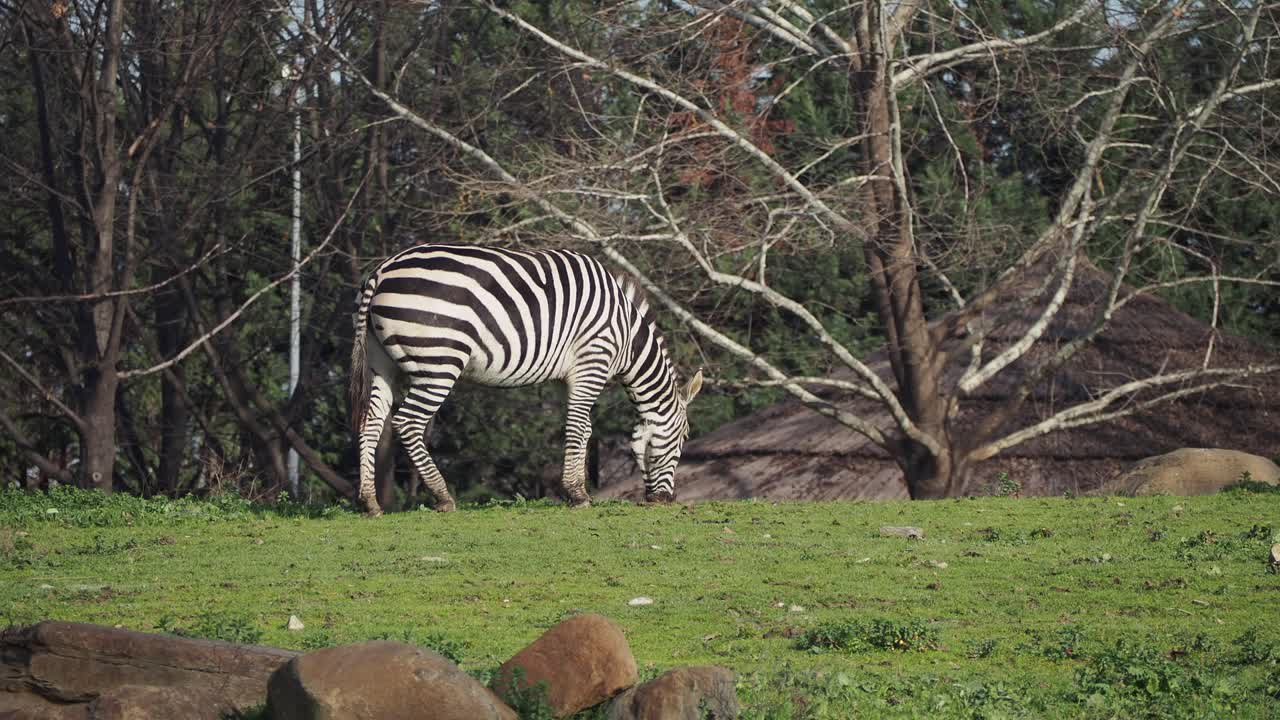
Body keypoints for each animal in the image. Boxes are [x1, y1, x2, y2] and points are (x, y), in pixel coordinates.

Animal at [349, 244, 703, 515]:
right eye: (683, 439)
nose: (666, 500)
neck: (627, 335)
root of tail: (382, 270)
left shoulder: (567, 377)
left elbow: (582, 429)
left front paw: (577, 490)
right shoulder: (592, 362)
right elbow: (579, 427)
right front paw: (577, 494)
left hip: (381, 362)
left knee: (371, 421)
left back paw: (370, 503)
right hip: (438, 361)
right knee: (407, 421)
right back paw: (443, 497)